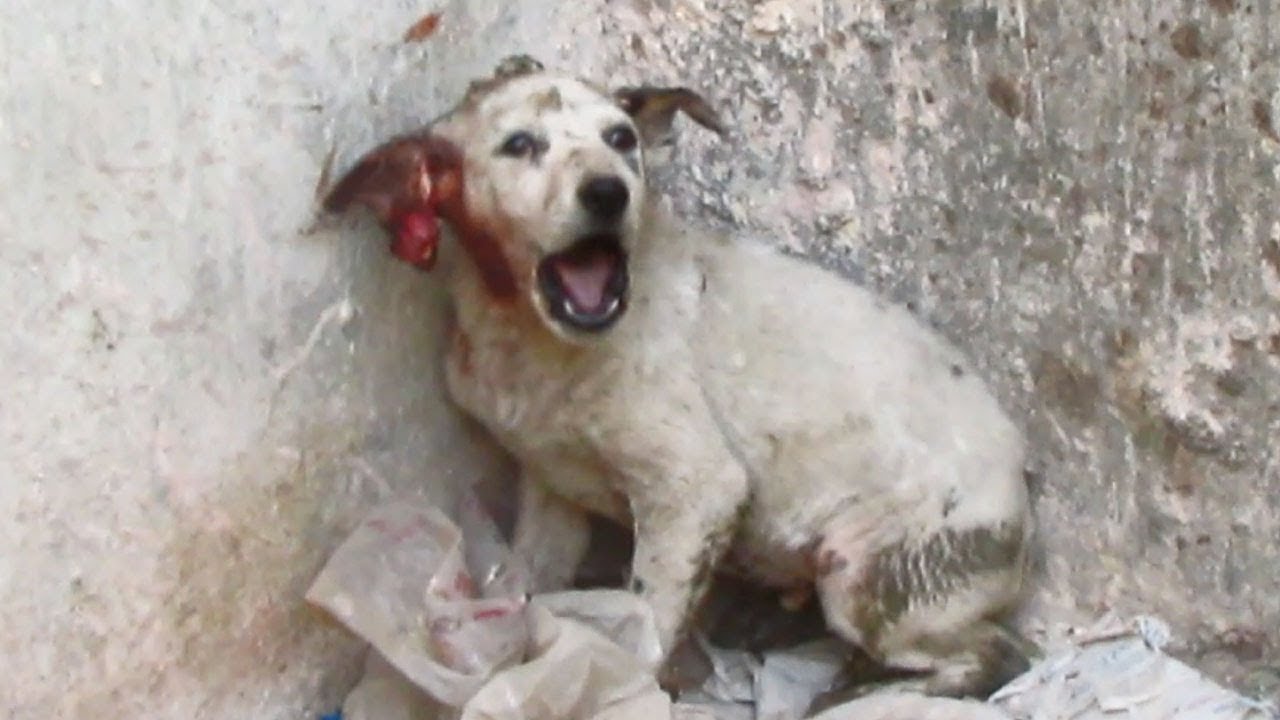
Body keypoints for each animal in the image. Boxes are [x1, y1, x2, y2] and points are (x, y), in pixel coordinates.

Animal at [325, 56, 1034, 696]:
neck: (531, 338)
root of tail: (1023, 485)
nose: (609, 192)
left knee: (998, 656)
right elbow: (527, 582)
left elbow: (648, 624)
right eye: (519, 145)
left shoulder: (694, 489)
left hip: (867, 578)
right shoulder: (549, 490)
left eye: (621, 139)